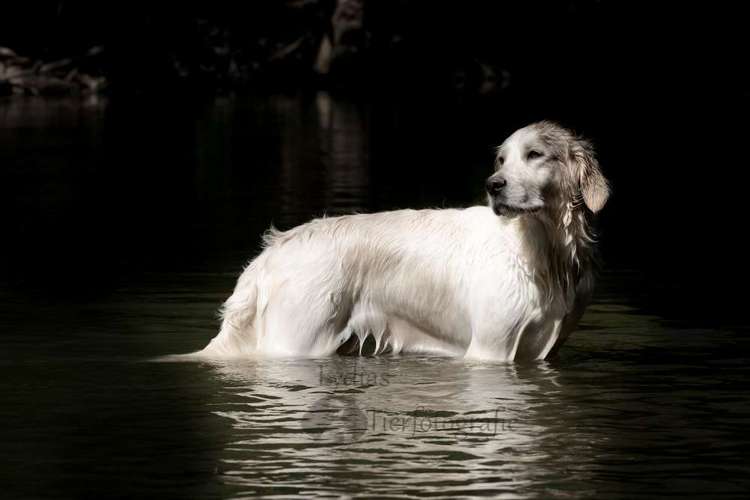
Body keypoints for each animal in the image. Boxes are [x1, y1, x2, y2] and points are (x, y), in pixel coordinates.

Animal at [200, 123, 612, 362]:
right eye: (501, 159)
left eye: (535, 155)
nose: (493, 186)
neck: (543, 250)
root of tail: (271, 251)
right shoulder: (490, 348)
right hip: (296, 340)